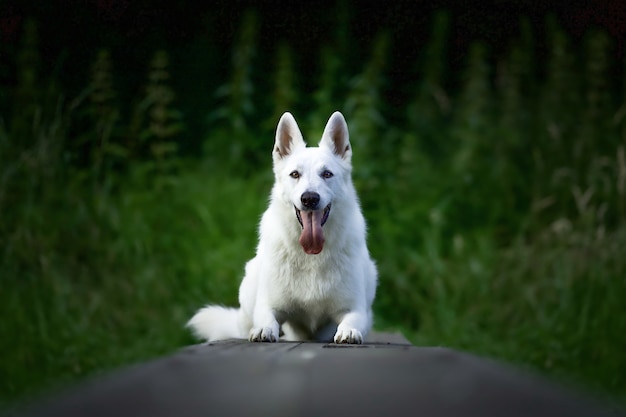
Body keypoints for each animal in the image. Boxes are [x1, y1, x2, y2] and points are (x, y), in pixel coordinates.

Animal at [186, 112, 376, 342]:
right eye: (295, 174)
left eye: (327, 174)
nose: (309, 198)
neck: (311, 257)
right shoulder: (268, 306)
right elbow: (267, 319)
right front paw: (264, 330)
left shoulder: (356, 310)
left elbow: (351, 320)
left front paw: (348, 331)